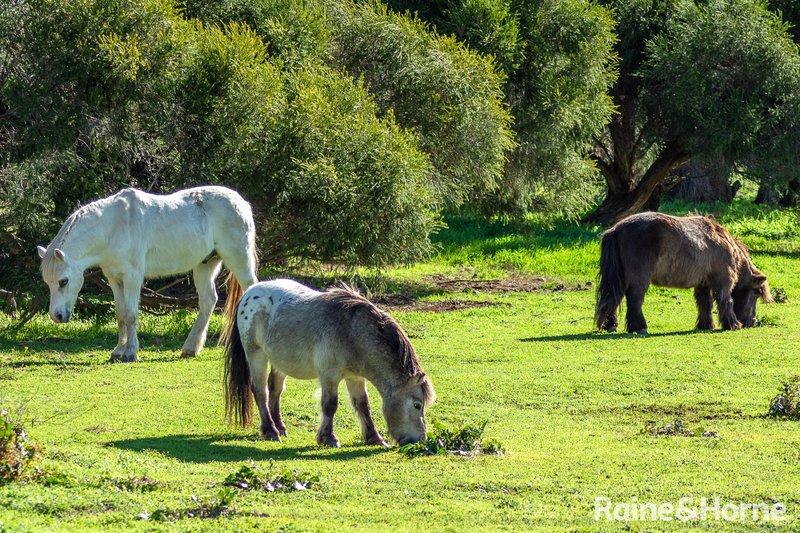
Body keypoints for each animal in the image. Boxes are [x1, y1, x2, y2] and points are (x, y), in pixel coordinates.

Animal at [37, 186, 258, 362]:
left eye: (63, 281)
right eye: (48, 283)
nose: (57, 316)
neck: (113, 227)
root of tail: (242, 203)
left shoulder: (132, 277)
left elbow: (131, 314)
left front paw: (130, 353)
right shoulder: (115, 279)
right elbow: (120, 314)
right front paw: (118, 351)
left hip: (239, 259)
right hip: (205, 265)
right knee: (208, 301)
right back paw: (190, 348)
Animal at [222, 278, 434, 444]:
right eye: (417, 405)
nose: (420, 440)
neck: (351, 332)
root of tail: (249, 292)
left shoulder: (355, 377)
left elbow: (363, 404)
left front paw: (374, 438)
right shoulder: (329, 376)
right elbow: (330, 405)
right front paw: (328, 438)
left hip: (278, 362)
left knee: (275, 390)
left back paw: (280, 427)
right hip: (256, 355)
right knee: (260, 392)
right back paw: (271, 431)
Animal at [592, 211, 768, 332]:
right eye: (757, 293)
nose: (752, 322)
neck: (723, 242)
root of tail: (615, 229)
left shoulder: (703, 285)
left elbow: (704, 304)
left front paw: (705, 325)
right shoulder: (723, 283)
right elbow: (726, 301)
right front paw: (732, 324)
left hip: (620, 279)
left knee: (614, 299)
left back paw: (611, 325)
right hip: (639, 280)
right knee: (634, 300)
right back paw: (639, 327)